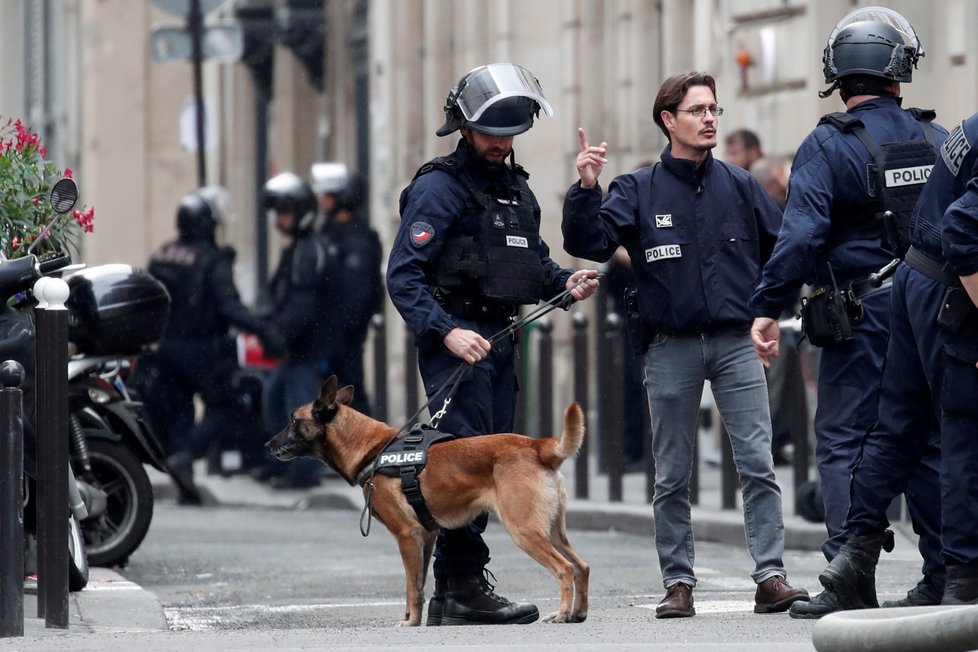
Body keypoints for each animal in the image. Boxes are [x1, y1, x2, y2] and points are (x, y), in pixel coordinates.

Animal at [264, 376, 592, 628]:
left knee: (565, 569)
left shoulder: (406, 535)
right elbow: (419, 584)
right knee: (582, 566)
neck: (374, 450)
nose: (267, 444)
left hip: (524, 531)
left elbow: (411, 586)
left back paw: (561, 613)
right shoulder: (427, 535)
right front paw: (414, 618)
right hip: (552, 531)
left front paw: (410, 622)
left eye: (293, 421)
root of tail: (537, 446)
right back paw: (578, 613)